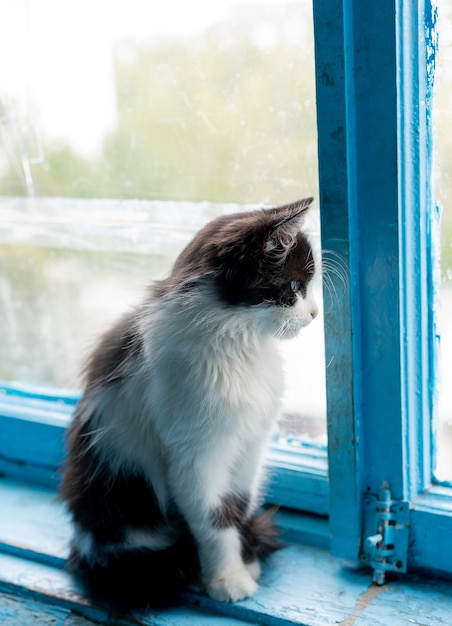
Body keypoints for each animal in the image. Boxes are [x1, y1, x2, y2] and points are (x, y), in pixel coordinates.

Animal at [61, 197, 318, 608]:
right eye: (296, 286)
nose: (314, 313)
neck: (240, 342)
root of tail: (87, 546)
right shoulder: (194, 454)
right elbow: (214, 520)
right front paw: (228, 579)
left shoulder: (251, 444)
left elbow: (238, 504)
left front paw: (245, 561)